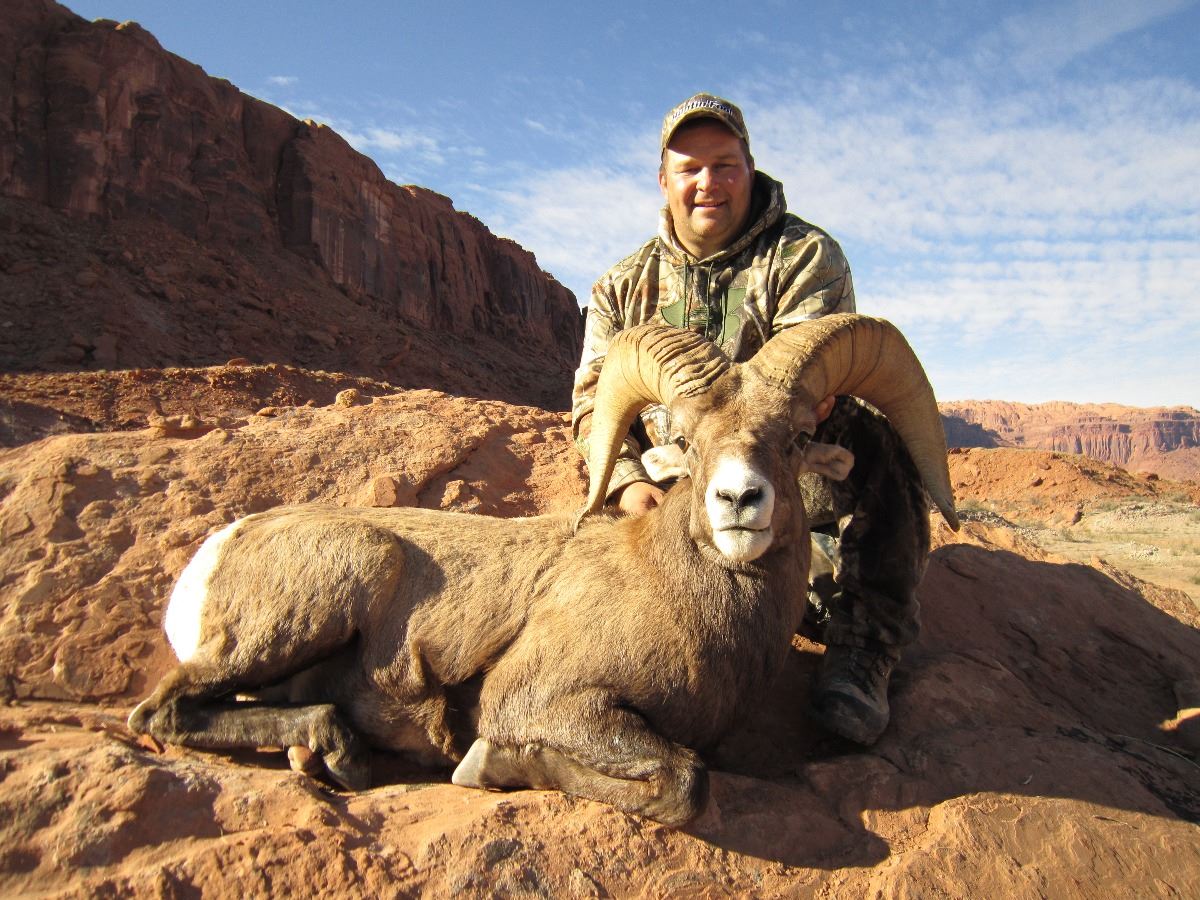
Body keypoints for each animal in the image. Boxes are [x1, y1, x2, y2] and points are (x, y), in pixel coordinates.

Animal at [127, 313, 958, 827]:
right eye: (685, 442)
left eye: (794, 438)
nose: (738, 502)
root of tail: (215, 551)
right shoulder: (548, 703)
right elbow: (684, 781)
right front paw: (489, 765)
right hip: (327, 595)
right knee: (160, 713)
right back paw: (335, 749)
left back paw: (327, 751)